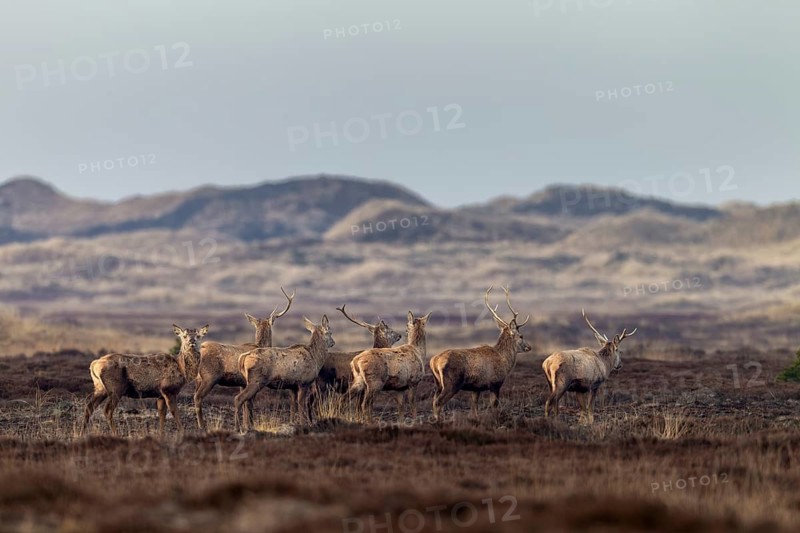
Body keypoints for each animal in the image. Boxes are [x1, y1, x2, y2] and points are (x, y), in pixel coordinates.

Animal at [194, 287, 294, 430]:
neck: (260, 345)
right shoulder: (250, 381)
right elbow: (249, 404)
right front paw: (249, 425)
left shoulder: (242, 383)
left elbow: (246, 405)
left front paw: (246, 424)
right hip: (210, 376)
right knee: (198, 397)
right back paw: (202, 425)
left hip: (198, 378)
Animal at [430, 286, 532, 421]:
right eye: (521, 336)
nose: (529, 347)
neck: (505, 361)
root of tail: (434, 361)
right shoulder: (495, 383)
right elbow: (494, 405)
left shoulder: (476, 388)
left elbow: (474, 408)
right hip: (451, 383)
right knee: (438, 402)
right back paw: (439, 421)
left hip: (437, 383)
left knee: (433, 400)